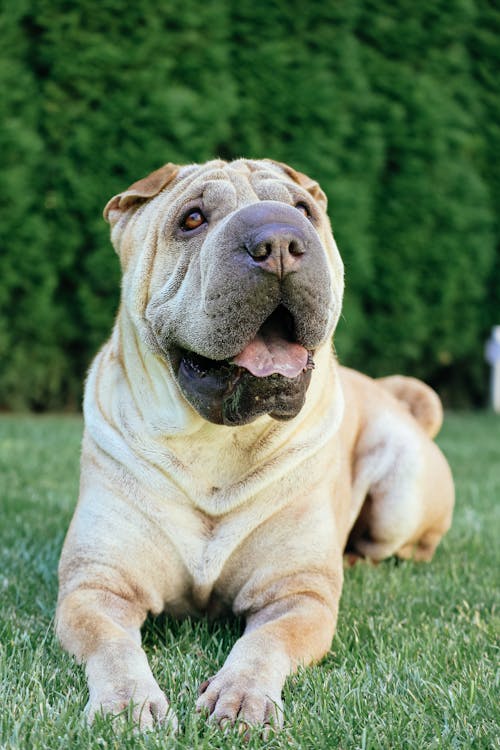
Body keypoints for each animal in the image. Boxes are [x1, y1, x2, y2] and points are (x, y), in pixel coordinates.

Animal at [56, 157, 456, 736]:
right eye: (192, 219)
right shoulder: (96, 585)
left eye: (304, 210)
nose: (281, 241)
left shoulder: (297, 594)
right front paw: (128, 703)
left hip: (400, 494)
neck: (215, 442)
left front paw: (241, 696)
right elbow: (110, 643)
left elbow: (266, 641)